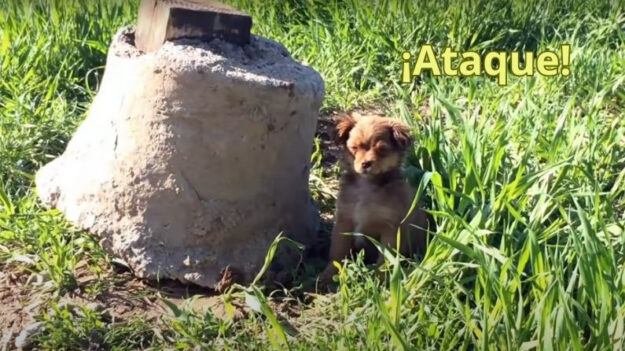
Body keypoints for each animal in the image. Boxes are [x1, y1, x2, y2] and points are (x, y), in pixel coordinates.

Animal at [320, 114, 432, 282]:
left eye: (382, 150)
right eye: (354, 148)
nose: (366, 163)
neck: (368, 186)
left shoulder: (391, 228)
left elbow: (385, 258)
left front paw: (381, 279)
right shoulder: (344, 220)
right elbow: (338, 251)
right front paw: (329, 273)